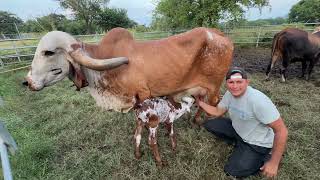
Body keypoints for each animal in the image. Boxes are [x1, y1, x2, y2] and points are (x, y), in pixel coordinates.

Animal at [22, 27, 232, 124]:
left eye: (48, 53)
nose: (28, 82)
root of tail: (217, 33)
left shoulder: (143, 94)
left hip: (214, 85)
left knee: (213, 102)